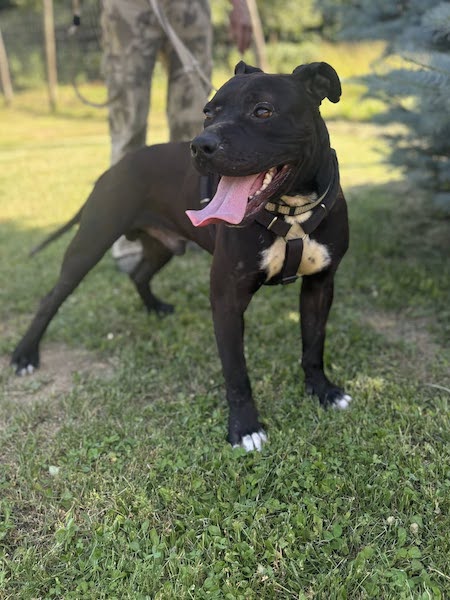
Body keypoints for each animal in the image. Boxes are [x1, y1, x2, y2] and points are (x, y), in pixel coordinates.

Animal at [12, 61, 352, 451]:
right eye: (208, 112)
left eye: (263, 111)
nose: (201, 146)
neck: (291, 212)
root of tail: (113, 169)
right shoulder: (227, 299)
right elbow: (236, 372)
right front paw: (245, 428)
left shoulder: (320, 286)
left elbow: (313, 346)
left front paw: (322, 391)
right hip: (89, 246)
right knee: (51, 298)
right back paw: (24, 355)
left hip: (162, 246)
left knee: (139, 273)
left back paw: (155, 307)